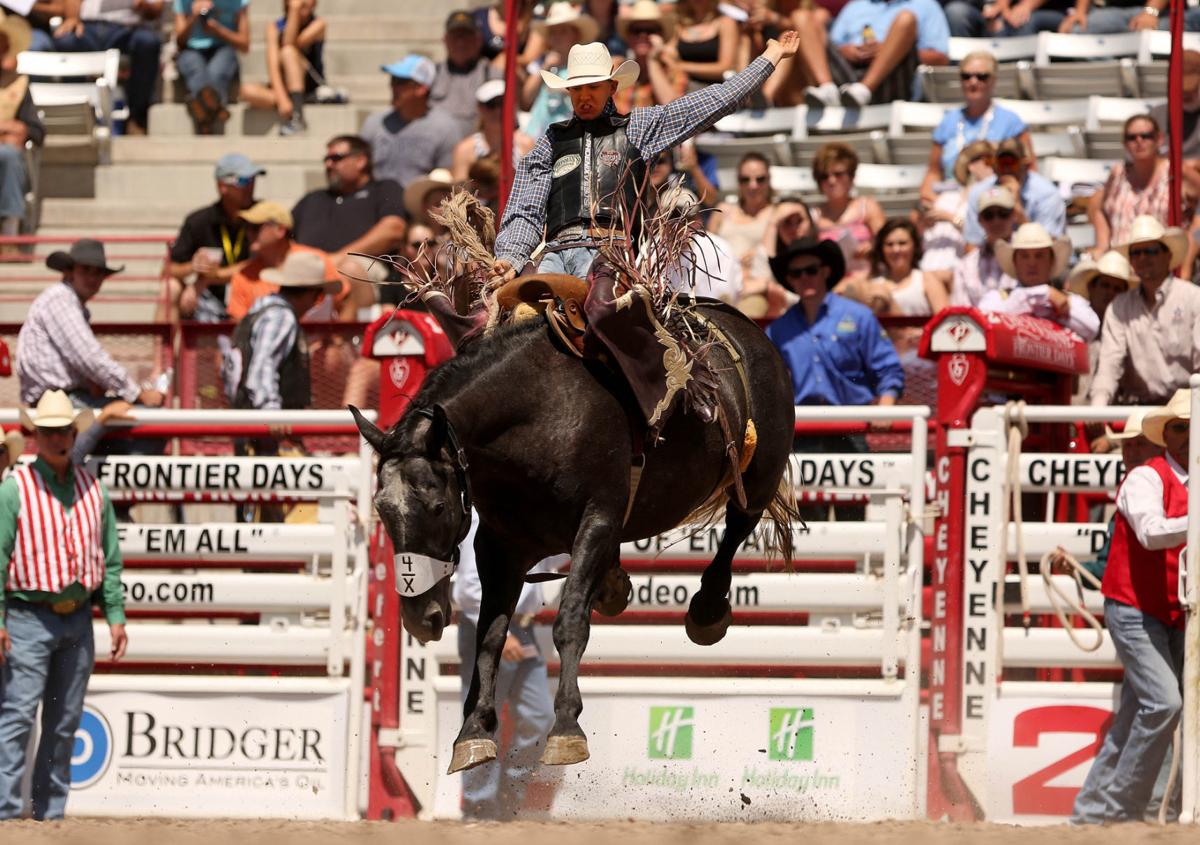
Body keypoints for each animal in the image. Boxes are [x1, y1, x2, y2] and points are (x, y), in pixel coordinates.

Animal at [348, 194, 796, 777]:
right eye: (382, 509)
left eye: (439, 506)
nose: (421, 620)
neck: (539, 412)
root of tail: (747, 328)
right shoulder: (500, 542)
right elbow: (491, 632)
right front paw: (472, 734)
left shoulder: (597, 518)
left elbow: (568, 622)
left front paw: (565, 729)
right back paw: (615, 585)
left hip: (760, 472)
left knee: (737, 529)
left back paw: (706, 610)